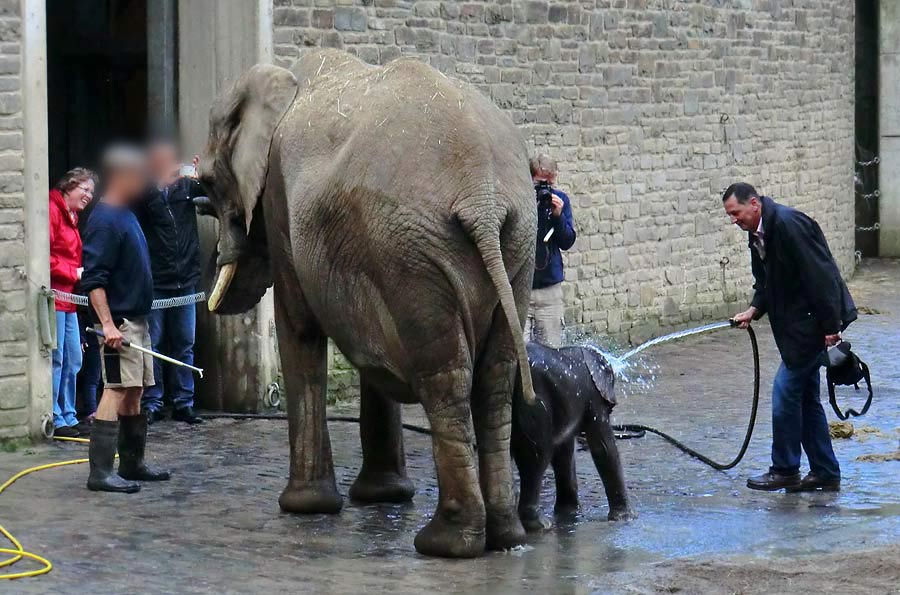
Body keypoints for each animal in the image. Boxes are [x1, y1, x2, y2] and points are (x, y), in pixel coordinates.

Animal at [197, 50, 536, 560]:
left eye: (208, 184)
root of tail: (482, 198)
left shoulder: (279, 199)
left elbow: (299, 329)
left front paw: (304, 508)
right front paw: (382, 497)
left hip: (414, 255)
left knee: (445, 375)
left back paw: (445, 544)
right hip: (512, 247)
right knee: (495, 377)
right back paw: (505, 538)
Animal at [510, 340, 636, 532]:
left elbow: (565, 451)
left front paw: (569, 513)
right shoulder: (593, 397)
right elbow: (603, 448)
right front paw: (626, 518)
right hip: (532, 398)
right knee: (537, 455)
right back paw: (540, 524)